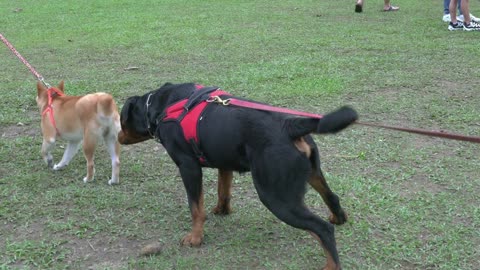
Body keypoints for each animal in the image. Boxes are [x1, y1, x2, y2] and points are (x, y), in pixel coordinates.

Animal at [118, 83, 358, 270]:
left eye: (120, 121)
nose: (118, 136)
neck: (161, 106)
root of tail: (290, 125)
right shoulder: (224, 162)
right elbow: (223, 191)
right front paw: (221, 211)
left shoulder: (188, 167)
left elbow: (196, 208)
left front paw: (195, 237)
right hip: (312, 173)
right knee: (332, 197)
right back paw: (338, 218)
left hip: (276, 197)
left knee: (322, 229)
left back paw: (331, 264)